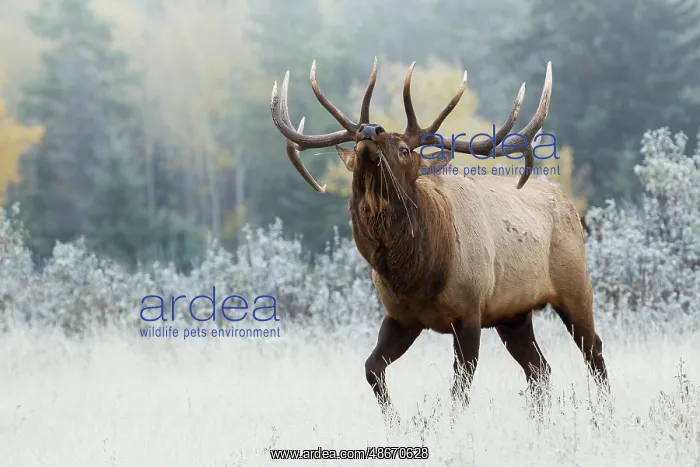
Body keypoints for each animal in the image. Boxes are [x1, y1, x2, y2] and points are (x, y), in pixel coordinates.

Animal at [269, 57, 610, 423]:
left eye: (404, 149)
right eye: (363, 143)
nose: (370, 130)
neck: (419, 275)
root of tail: (569, 204)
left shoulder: (470, 313)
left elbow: (459, 392)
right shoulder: (401, 317)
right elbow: (372, 368)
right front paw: (395, 422)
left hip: (575, 286)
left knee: (594, 350)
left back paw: (605, 412)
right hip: (514, 314)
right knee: (539, 368)